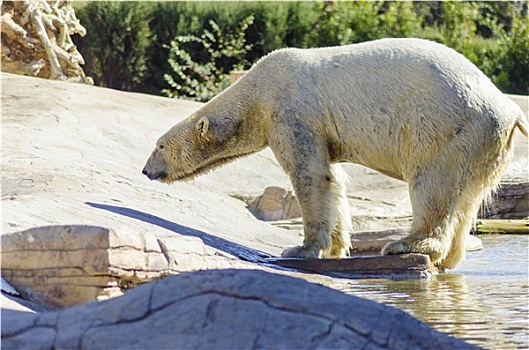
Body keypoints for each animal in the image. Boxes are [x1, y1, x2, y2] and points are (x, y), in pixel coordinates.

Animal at [142, 38, 524, 270]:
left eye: (158, 146)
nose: (146, 170)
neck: (258, 94)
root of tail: (510, 111)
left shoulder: (291, 113)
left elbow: (309, 174)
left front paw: (301, 249)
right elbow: (333, 179)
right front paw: (338, 247)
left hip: (445, 126)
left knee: (431, 184)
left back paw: (406, 244)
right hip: (483, 145)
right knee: (467, 198)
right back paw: (449, 258)